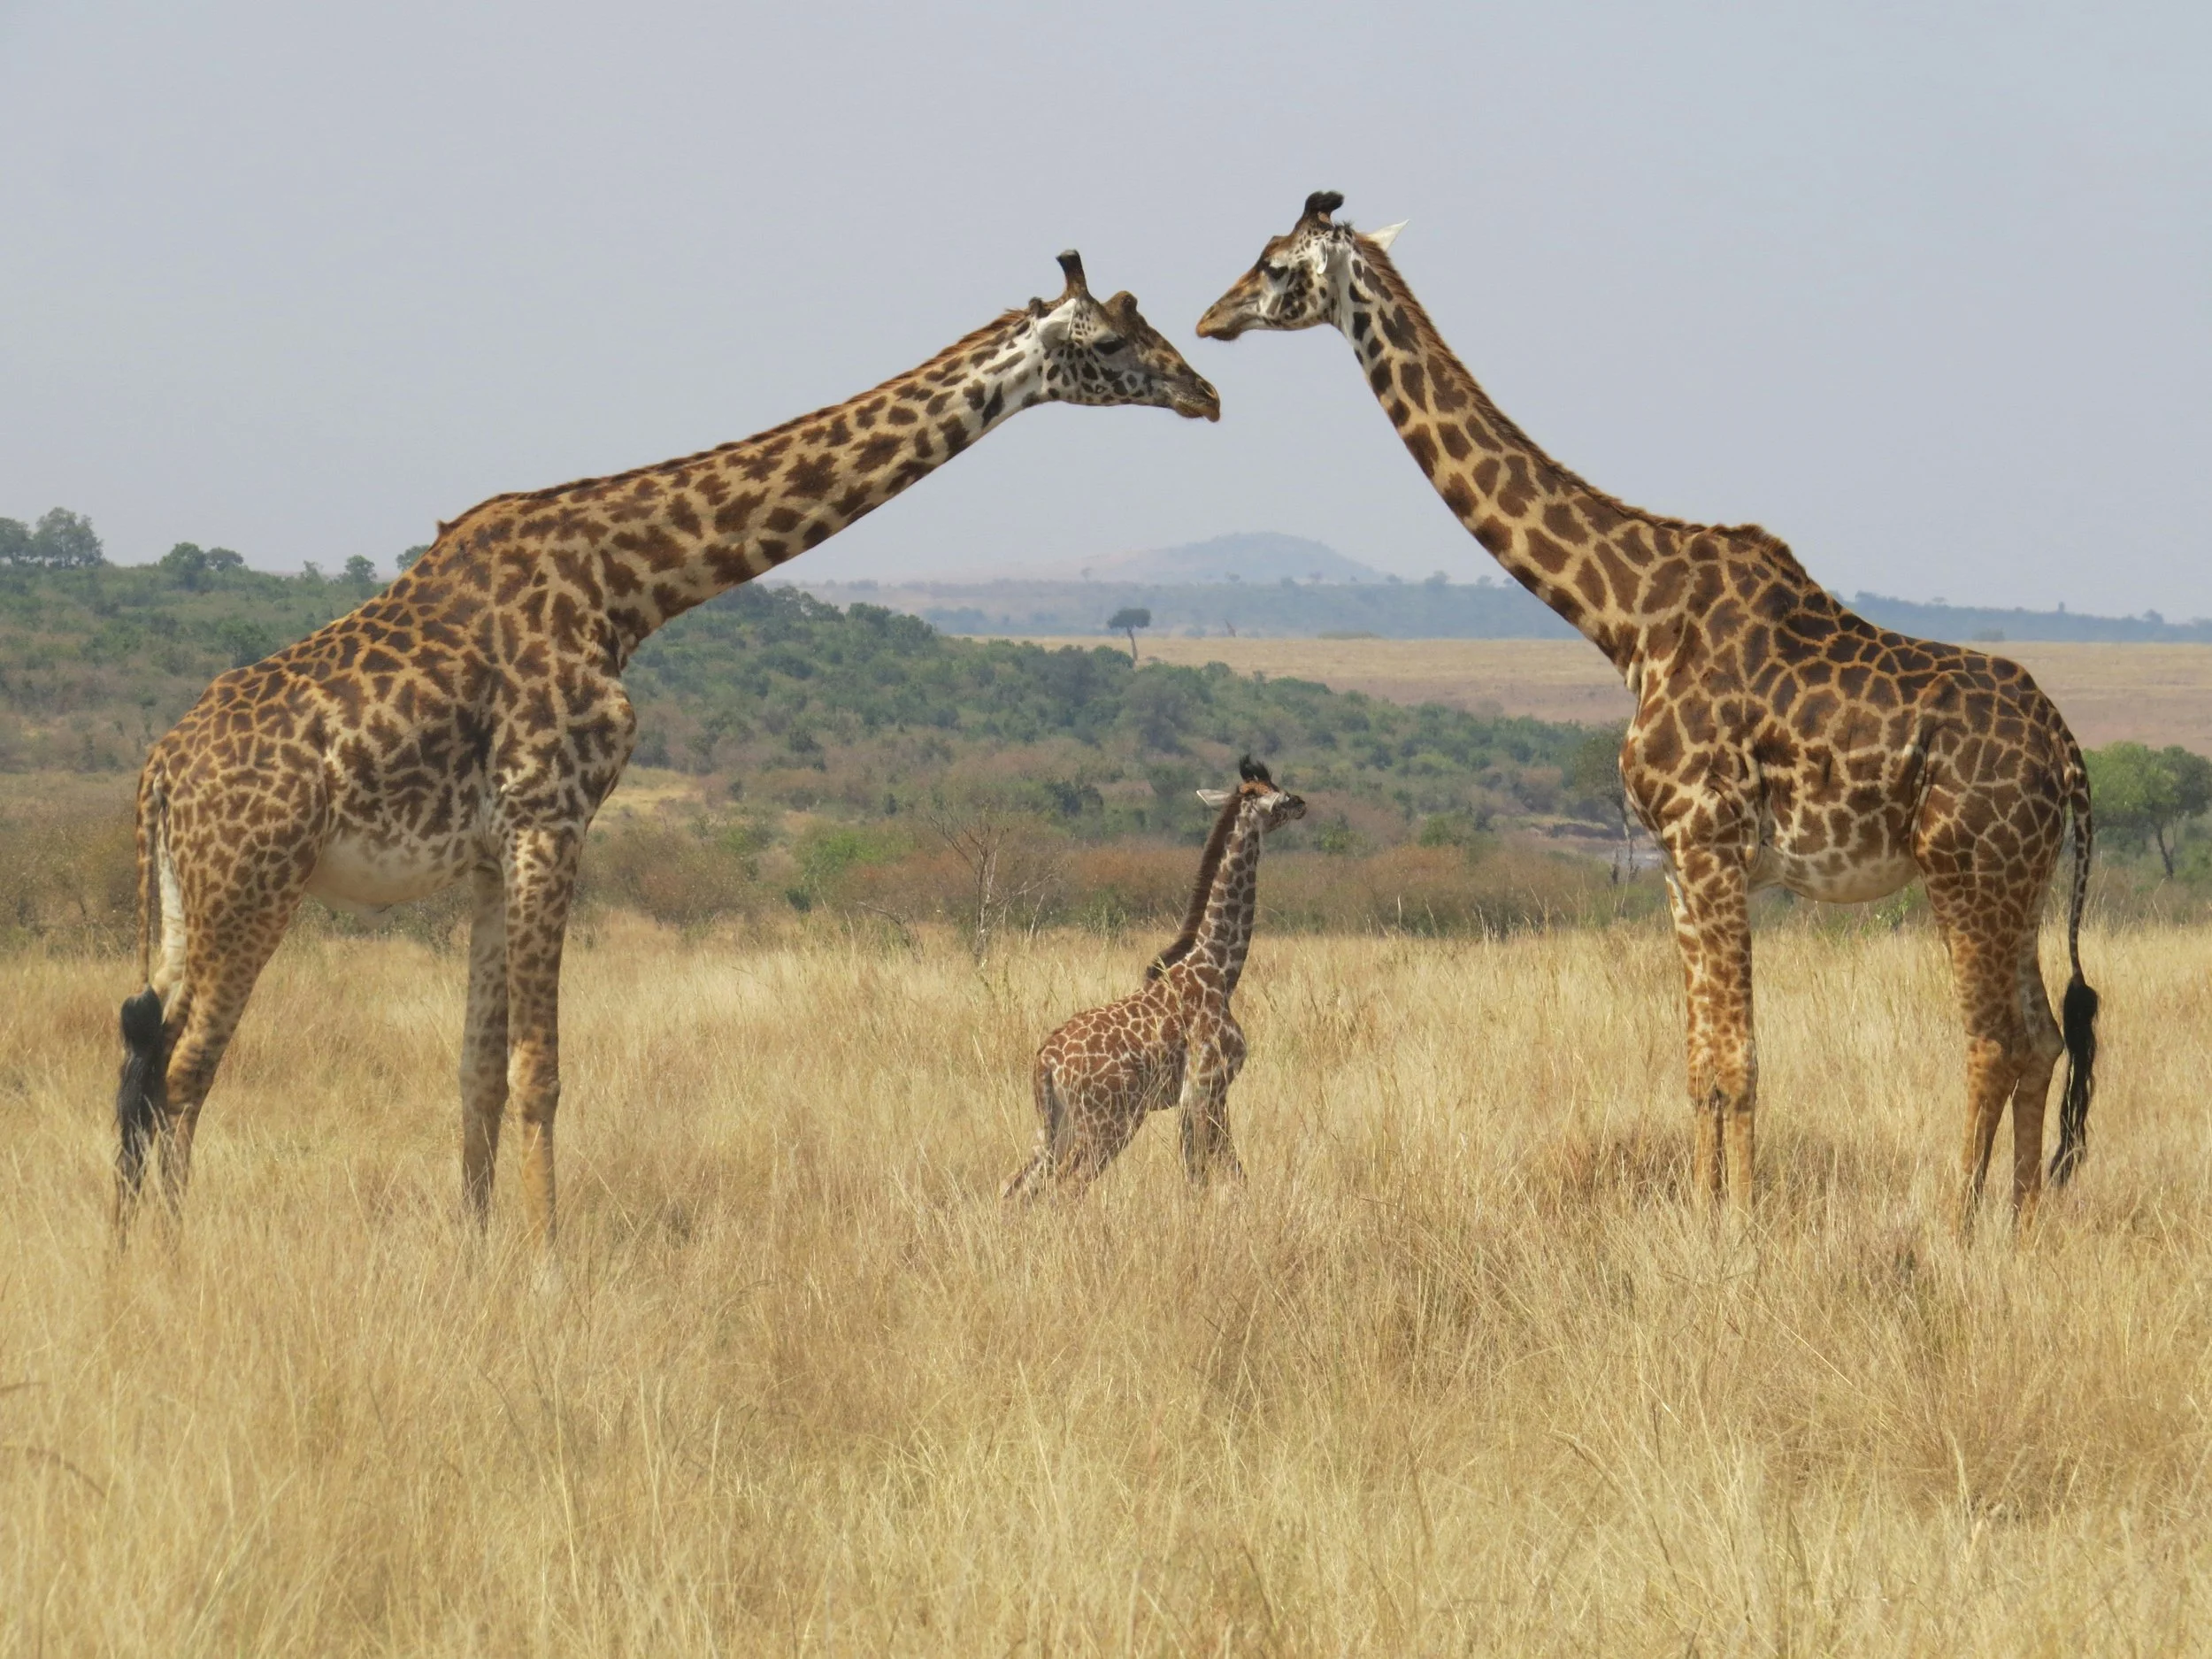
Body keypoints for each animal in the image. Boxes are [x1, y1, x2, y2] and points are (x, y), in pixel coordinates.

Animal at [113, 252, 1221, 1243]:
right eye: (1111, 341)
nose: (1203, 390)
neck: (626, 582)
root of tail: (161, 775)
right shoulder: (552, 819)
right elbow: (539, 1071)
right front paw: (546, 1266)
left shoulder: (491, 853)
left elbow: (475, 1071)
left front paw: (475, 1255)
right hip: (255, 885)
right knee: (187, 1068)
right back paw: (173, 1256)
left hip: (182, 900)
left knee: (143, 1049)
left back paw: (131, 1250)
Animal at [1005, 758, 1305, 1199]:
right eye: (1277, 796)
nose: (1302, 803)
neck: (1220, 970)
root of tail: (1044, 1061)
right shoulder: (1209, 1087)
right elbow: (1229, 1170)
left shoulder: (1190, 1099)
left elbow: (1197, 1173)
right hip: (1109, 1122)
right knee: (1065, 1189)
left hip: (1055, 1127)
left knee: (1016, 1188)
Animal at [1198, 193, 2099, 1227]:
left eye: (1274, 265)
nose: (1210, 319)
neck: (1629, 618)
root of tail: (2068, 752)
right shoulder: (1675, 859)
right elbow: (1700, 1062)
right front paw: (1703, 1216)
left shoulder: (1710, 843)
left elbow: (1741, 1061)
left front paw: (1741, 1226)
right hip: (2022, 878)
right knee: (2043, 1038)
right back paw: (2022, 1223)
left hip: (1966, 872)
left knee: (1993, 1041)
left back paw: (1954, 1225)